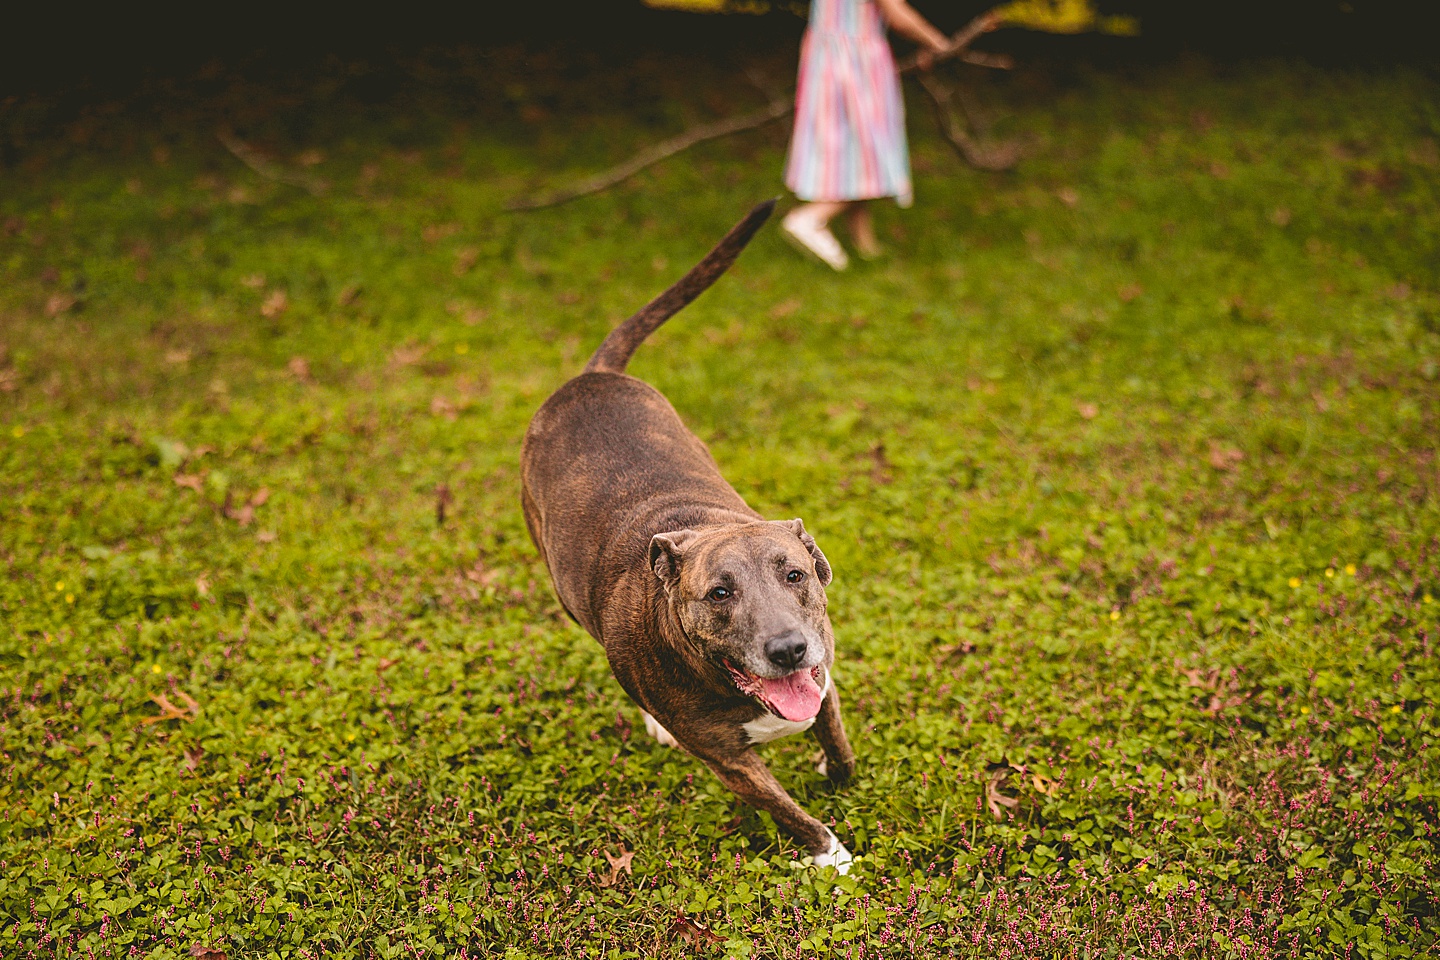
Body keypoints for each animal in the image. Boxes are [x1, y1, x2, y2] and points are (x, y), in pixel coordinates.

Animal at [518, 201, 852, 869]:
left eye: (795, 575)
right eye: (719, 594)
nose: (788, 649)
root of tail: (591, 376)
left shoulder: (825, 678)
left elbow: (840, 748)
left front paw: (834, 771)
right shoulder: (728, 761)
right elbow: (787, 810)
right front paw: (830, 857)